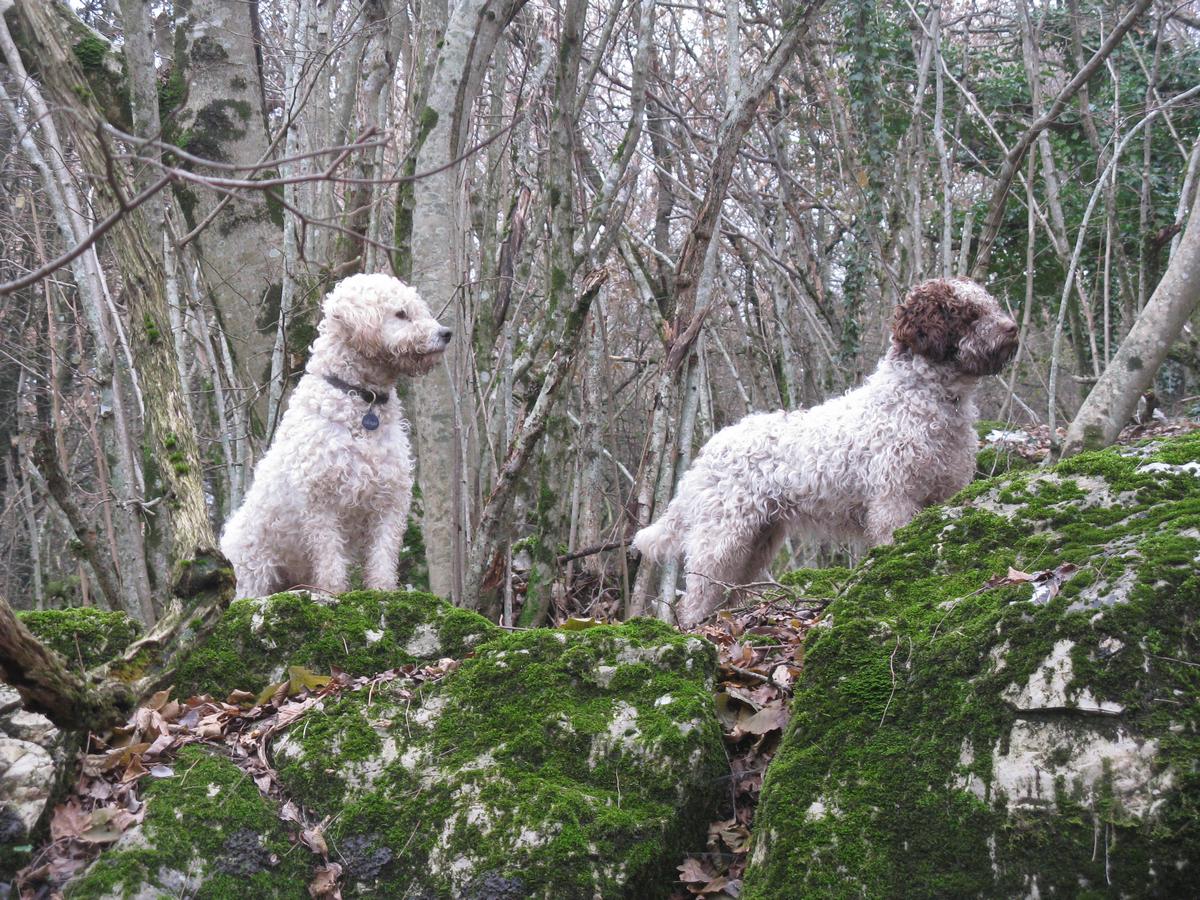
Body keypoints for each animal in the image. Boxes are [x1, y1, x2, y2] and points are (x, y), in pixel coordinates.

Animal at [220, 273, 451, 600]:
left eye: (419, 310)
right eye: (401, 314)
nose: (446, 333)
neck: (362, 401)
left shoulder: (390, 499)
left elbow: (383, 552)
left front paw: (382, 590)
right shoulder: (321, 501)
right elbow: (329, 555)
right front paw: (332, 592)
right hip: (253, 574)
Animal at [633, 278, 1017, 628]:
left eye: (988, 305)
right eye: (967, 314)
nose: (1012, 329)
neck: (922, 400)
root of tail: (708, 452)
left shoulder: (945, 492)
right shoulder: (895, 501)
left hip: (758, 538)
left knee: (728, 591)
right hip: (722, 536)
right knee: (698, 592)